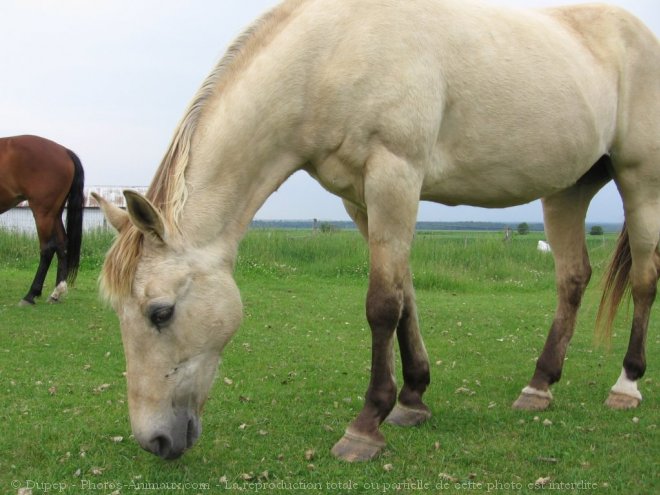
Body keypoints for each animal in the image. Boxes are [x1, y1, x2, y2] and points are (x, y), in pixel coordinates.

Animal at [0, 137, 85, 306]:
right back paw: (56, 293)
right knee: (62, 244)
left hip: (43, 213)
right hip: (54, 213)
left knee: (47, 249)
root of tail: (64, 151)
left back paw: (30, 295)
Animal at [94, 0, 660, 464]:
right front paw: (412, 399)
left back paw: (626, 385)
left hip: (640, 182)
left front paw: (367, 425)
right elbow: (405, 296)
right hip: (568, 190)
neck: (333, 51)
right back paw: (539, 386)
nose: (155, 440)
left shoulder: (395, 175)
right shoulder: (361, 199)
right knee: (572, 278)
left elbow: (383, 305)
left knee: (643, 280)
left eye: (160, 312)